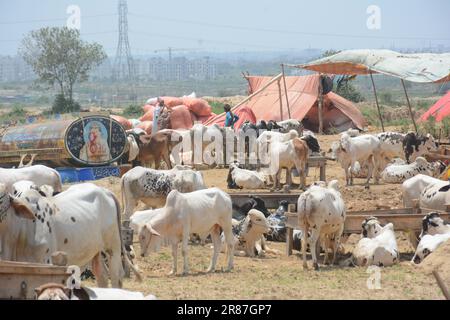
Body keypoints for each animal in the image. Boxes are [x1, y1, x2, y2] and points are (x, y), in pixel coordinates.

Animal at [0, 182, 142, 288]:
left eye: (3, 200)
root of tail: (105, 191)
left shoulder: (46, 263)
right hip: (95, 251)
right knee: (102, 276)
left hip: (112, 247)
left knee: (116, 277)